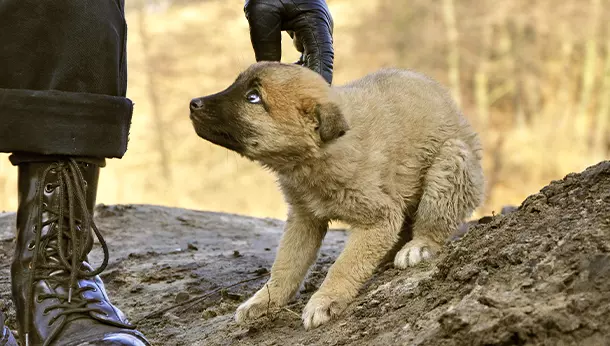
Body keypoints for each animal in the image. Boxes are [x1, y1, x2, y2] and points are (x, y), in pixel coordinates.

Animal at [188, 61, 482, 330]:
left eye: (253, 97)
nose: (193, 103)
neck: (315, 156)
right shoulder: (303, 219)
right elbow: (285, 265)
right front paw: (264, 300)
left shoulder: (379, 217)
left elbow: (343, 265)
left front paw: (324, 301)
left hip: (451, 161)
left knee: (434, 222)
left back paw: (417, 248)